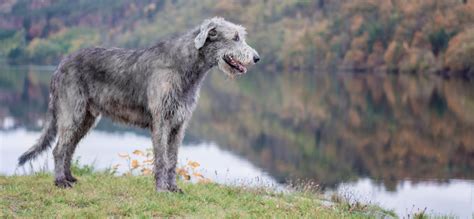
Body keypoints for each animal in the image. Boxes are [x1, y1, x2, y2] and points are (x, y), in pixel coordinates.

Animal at [17, 17, 260, 192]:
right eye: (235, 37)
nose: (257, 58)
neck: (184, 66)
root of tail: (59, 65)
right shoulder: (162, 121)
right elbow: (162, 159)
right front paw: (162, 189)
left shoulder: (178, 124)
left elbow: (173, 159)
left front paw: (173, 188)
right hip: (72, 112)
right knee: (59, 149)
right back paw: (60, 182)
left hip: (86, 118)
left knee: (69, 148)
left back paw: (69, 177)